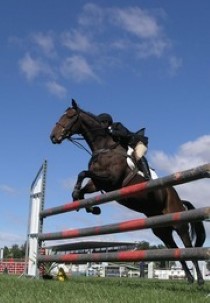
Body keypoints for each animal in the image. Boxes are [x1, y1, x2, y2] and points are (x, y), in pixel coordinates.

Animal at [50, 99, 206, 284]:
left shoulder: (112, 180)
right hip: (161, 229)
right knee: (174, 249)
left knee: (188, 246)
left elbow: (82, 173)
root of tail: (180, 200)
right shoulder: (98, 183)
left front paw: (88, 205)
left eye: (70, 116)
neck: (105, 147)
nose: (53, 137)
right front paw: (89, 206)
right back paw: (189, 278)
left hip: (179, 222)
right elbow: (83, 186)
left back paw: (200, 280)